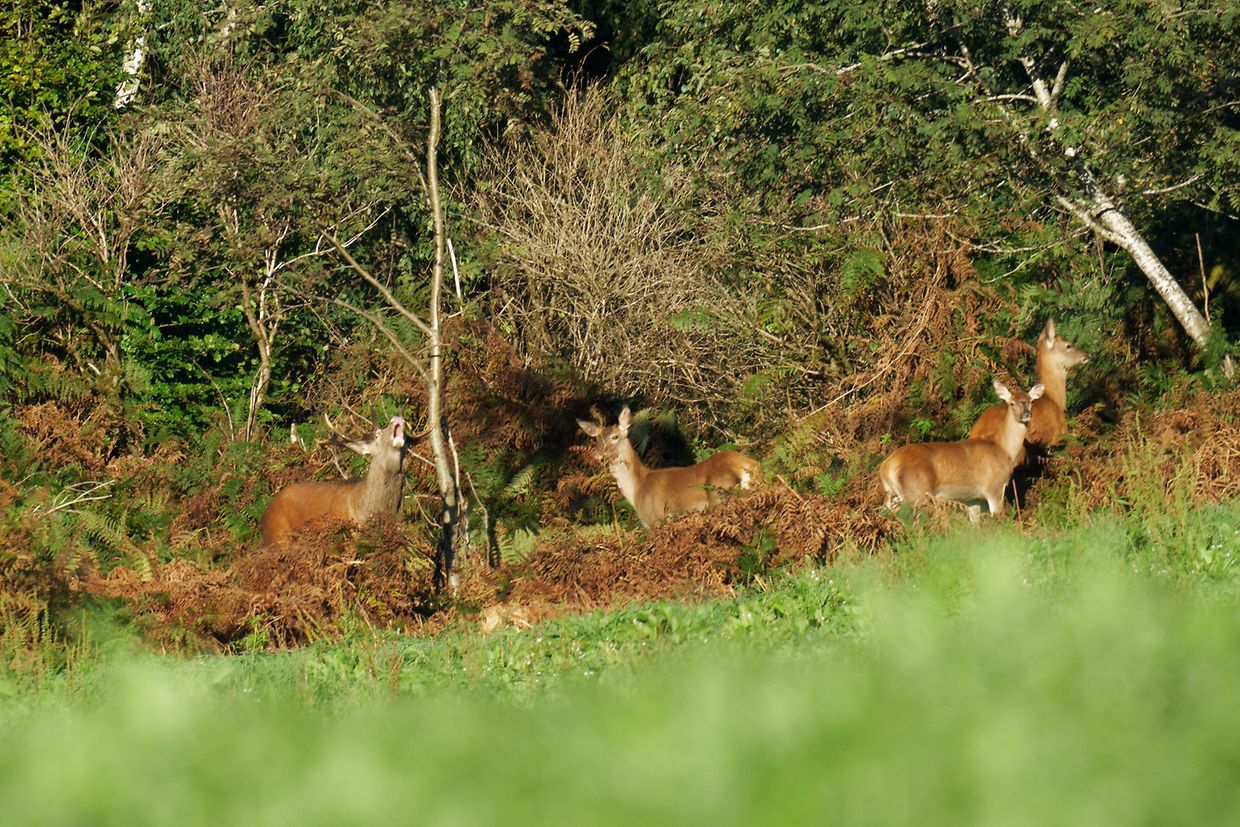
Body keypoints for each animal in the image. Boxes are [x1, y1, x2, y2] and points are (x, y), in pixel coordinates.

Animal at [576, 406, 760, 527]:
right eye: (596, 439)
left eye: (615, 437)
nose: (598, 455)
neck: (637, 489)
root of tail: (743, 467)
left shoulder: (656, 520)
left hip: (720, 496)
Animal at [879, 380, 1044, 519]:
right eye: (1012, 403)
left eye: (1030, 401)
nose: (1027, 414)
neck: (1003, 449)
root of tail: (887, 466)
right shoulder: (994, 486)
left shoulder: (972, 498)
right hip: (915, 491)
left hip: (893, 495)